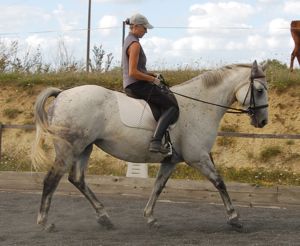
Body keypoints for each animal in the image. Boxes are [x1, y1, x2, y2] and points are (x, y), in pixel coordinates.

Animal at [31, 59, 268, 231]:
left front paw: (150, 218)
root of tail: (62, 94)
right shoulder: (198, 157)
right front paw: (234, 218)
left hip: (84, 148)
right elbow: (219, 182)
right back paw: (45, 223)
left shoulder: (171, 161)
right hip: (69, 149)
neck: (199, 106)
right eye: (259, 90)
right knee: (51, 180)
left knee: (77, 179)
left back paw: (104, 217)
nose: (263, 121)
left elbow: (158, 186)